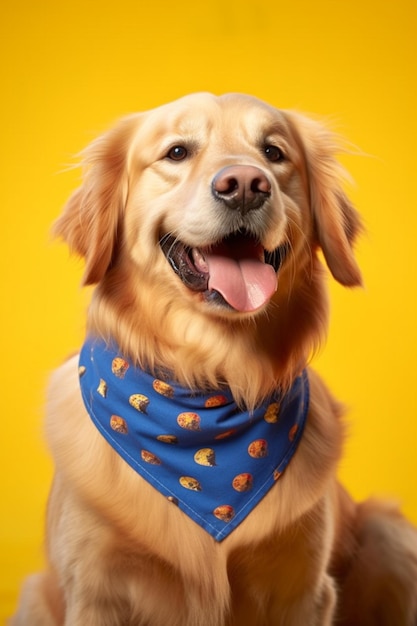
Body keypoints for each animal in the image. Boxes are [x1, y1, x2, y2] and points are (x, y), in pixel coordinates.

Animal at [12, 94, 416, 624]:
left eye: (273, 153)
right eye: (177, 152)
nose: (245, 185)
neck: (209, 384)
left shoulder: (303, 589)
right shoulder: (94, 589)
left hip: (389, 533)